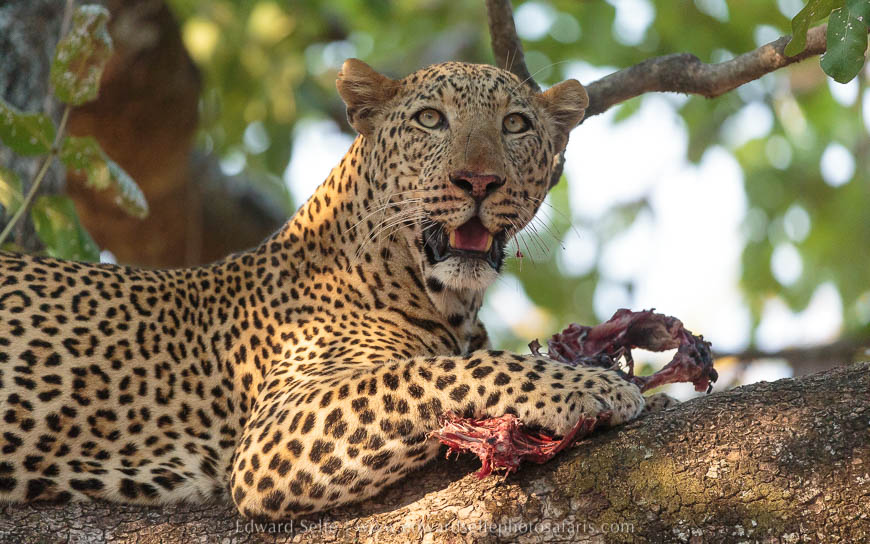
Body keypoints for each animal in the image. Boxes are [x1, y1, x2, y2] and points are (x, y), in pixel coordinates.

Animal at [0, 59, 658, 520]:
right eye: (431, 119)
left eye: (515, 125)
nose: (478, 180)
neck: (446, 300)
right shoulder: (273, 433)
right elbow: (443, 370)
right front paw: (590, 386)